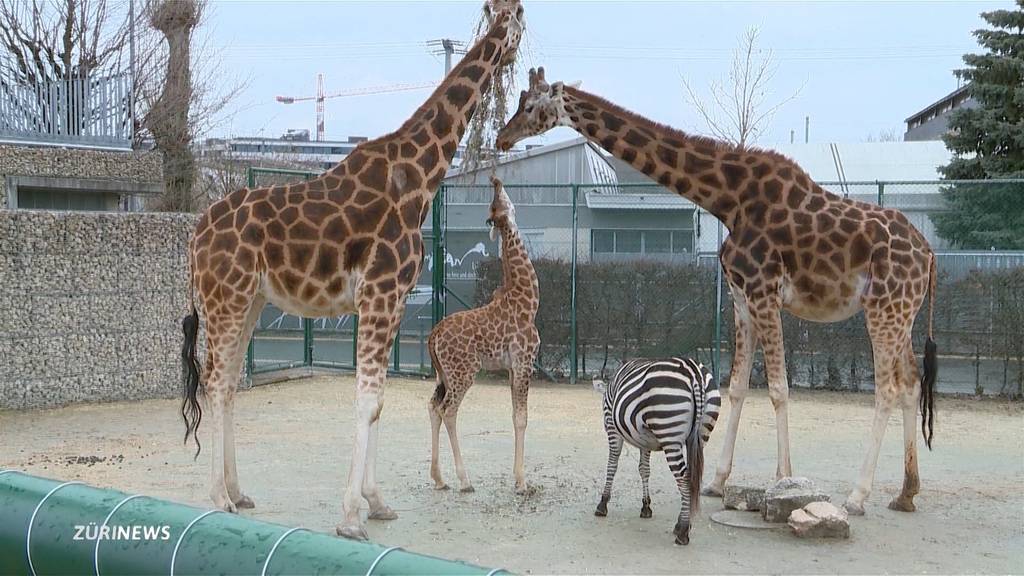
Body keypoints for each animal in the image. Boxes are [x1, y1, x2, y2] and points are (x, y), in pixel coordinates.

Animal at [179, 1, 524, 537]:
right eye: (518, 18)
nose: (511, 52)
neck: (419, 178)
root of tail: (196, 236)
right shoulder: (380, 293)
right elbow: (367, 398)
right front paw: (349, 516)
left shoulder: (394, 299)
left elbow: (379, 398)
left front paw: (376, 502)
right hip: (225, 297)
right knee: (214, 381)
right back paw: (217, 497)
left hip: (249, 300)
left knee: (230, 381)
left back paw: (238, 491)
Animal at [425, 172, 540, 491]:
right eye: (497, 201)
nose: (496, 179)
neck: (528, 301)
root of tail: (433, 335)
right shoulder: (524, 362)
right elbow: (523, 417)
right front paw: (522, 482)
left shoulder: (513, 367)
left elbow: (514, 416)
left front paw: (517, 477)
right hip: (464, 371)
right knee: (448, 410)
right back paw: (464, 479)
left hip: (443, 374)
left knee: (432, 406)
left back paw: (439, 478)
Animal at [495, 67, 937, 510]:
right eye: (518, 100)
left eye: (531, 106)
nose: (501, 138)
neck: (728, 199)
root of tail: (929, 255)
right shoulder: (742, 297)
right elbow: (738, 386)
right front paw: (718, 481)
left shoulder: (763, 290)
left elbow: (778, 388)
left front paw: (785, 480)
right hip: (901, 313)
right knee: (911, 383)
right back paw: (907, 492)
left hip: (884, 309)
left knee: (887, 389)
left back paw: (858, 495)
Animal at [593, 354, 720, 541]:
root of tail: (694, 372)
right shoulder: (645, 439)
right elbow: (644, 469)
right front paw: (646, 506)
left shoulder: (611, 426)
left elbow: (612, 465)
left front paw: (603, 503)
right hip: (701, 435)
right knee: (692, 478)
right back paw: (682, 523)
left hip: (669, 434)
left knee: (683, 477)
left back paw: (683, 531)